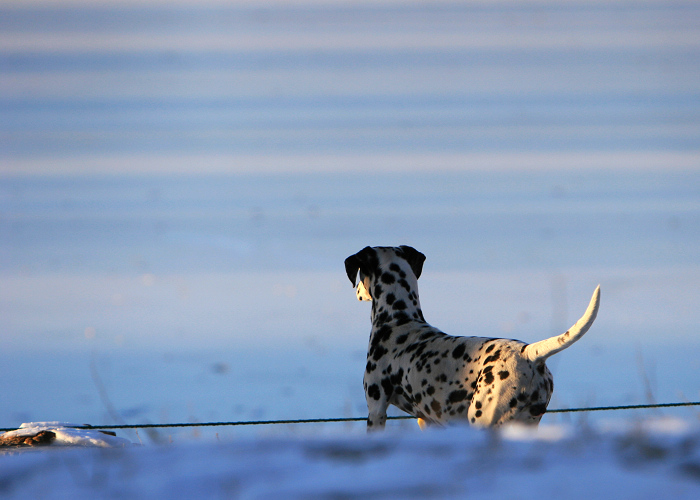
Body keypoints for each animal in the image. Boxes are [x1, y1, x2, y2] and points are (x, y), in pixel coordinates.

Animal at [344, 246, 600, 430]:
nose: (356, 292)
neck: (398, 319)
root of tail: (529, 353)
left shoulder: (377, 408)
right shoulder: (429, 420)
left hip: (484, 418)